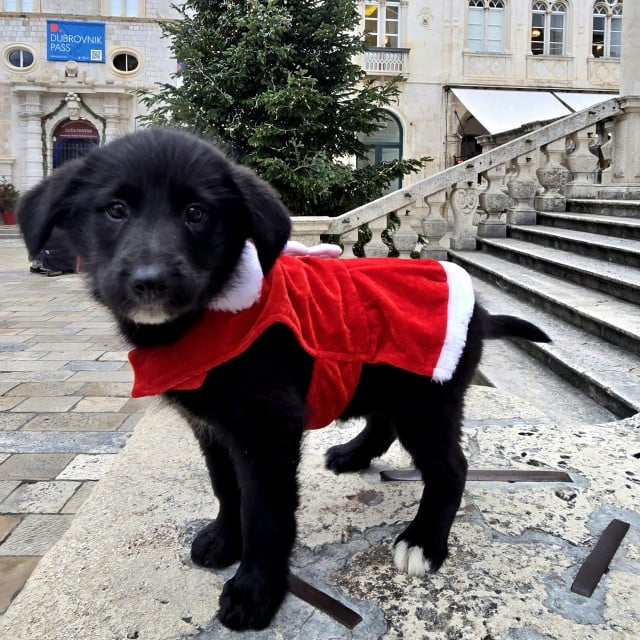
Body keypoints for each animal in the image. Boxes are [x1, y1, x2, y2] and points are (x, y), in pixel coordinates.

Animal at [18, 129, 552, 632]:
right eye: (115, 210)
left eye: (196, 213)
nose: (150, 282)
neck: (211, 318)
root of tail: (480, 312)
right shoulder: (213, 428)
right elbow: (226, 488)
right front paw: (224, 539)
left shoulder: (267, 430)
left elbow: (266, 513)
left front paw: (255, 590)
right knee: (384, 423)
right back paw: (352, 454)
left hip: (427, 400)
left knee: (450, 468)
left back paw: (423, 542)